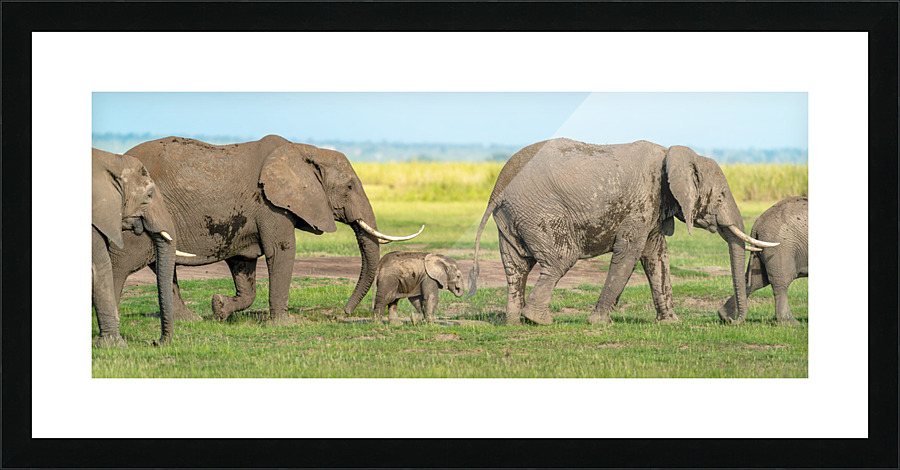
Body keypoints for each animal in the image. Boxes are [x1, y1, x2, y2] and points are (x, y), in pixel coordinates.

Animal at [109, 135, 422, 325]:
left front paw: (219, 307)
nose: (343, 313)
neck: (303, 150)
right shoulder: (270, 205)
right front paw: (284, 323)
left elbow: (243, 266)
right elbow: (281, 251)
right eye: (348, 187)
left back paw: (191, 320)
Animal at [468, 138, 778, 326]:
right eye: (722, 195)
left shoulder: (654, 206)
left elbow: (656, 257)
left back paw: (514, 321)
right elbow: (629, 252)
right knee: (560, 259)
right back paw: (538, 320)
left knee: (516, 267)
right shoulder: (642, 202)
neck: (675, 155)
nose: (728, 320)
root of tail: (497, 187)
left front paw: (670, 323)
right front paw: (598, 322)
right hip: (540, 213)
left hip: (511, 218)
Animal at [718, 196, 808, 326]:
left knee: (755, 281)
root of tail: (757, 224)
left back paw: (725, 317)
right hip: (781, 248)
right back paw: (791, 323)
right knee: (781, 281)